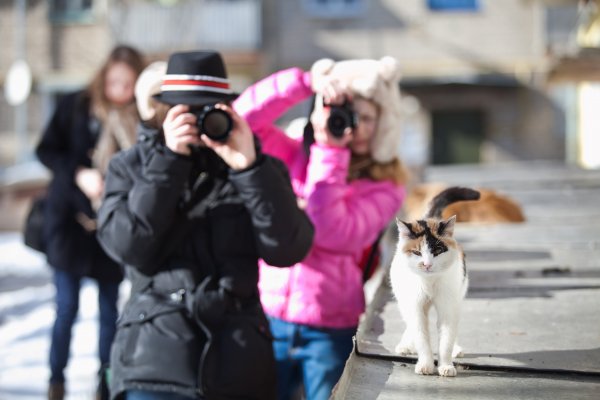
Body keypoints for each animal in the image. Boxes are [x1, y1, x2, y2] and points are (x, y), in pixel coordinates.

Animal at [386, 186, 480, 376]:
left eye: (437, 250)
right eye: (416, 252)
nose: (427, 264)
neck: (429, 282)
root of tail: (430, 219)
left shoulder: (448, 306)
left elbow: (446, 339)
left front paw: (446, 366)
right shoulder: (415, 306)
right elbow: (421, 336)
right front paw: (426, 364)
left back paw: (456, 349)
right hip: (403, 300)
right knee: (409, 323)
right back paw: (406, 345)